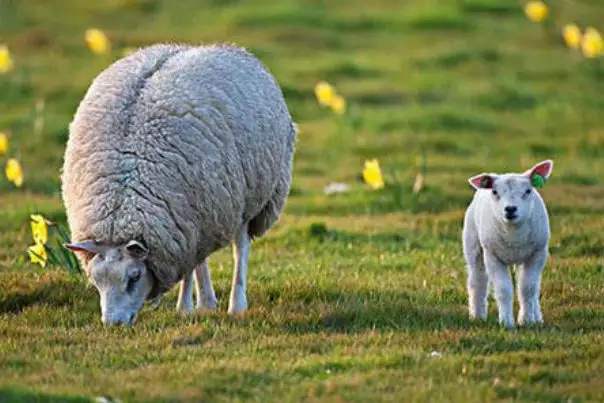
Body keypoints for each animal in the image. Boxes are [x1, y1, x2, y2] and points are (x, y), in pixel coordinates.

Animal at [61, 44, 298, 326]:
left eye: (134, 277)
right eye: (96, 280)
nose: (113, 324)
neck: (122, 202)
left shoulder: (181, 222)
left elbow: (190, 267)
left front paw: (184, 307)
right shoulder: (183, 222)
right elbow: (190, 264)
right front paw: (192, 305)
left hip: (247, 197)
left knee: (240, 248)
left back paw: (236, 304)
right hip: (207, 213)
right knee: (201, 258)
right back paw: (207, 302)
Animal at [464, 159, 556, 330]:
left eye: (528, 191)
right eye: (494, 192)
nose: (510, 209)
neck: (514, 236)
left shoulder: (537, 254)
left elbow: (528, 289)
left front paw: (527, 320)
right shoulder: (492, 255)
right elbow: (503, 290)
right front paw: (506, 323)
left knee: (533, 287)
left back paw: (537, 317)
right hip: (473, 245)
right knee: (477, 280)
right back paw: (477, 315)